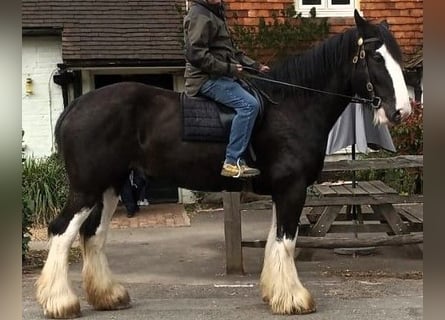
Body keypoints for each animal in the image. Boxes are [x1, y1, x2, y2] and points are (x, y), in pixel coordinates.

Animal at [37, 10, 410, 318]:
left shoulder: (283, 190)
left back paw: (108, 296)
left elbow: (275, 241)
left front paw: (274, 293)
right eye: (376, 57)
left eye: (397, 56)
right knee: (61, 231)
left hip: (111, 186)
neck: (292, 104)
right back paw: (61, 302)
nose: (402, 111)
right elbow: (287, 241)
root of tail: (75, 107)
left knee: (93, 235)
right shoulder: (292, 188)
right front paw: (294, 299)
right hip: (87, 188)